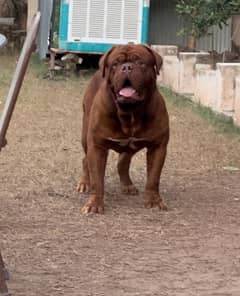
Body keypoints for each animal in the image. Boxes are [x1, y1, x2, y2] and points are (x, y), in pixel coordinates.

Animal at [77, 44, 169, 214]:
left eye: (140, 62)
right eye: (115, 64)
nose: (126, 67)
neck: (130, 112)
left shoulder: (158, 147)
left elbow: (153, 178)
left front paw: (154, 201)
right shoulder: (97, 146)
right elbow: (97, 180)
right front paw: (94, 204)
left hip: (129, 147)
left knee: (123, 162)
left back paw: (127, 185)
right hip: (86, 137)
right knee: (86, 160)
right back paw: (84, 183)